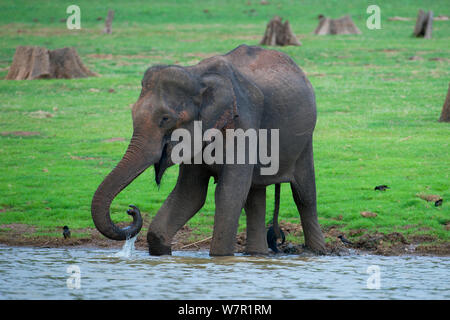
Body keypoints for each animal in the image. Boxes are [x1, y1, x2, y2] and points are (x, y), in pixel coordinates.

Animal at [89, 43, 326, 256]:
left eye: (165, 119)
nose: (131, 209)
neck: (197, 75)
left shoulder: (244, 122)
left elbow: (228, 193)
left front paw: (220, 257)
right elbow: (190, 193)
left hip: (305, 140)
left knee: (304, 194)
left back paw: (316, 253)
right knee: (255, 196)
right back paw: (257, 255)